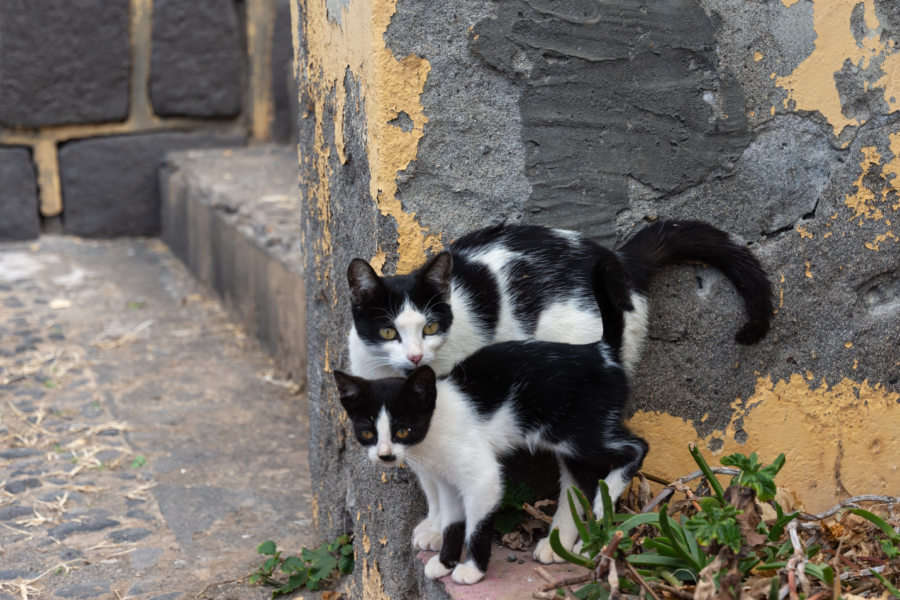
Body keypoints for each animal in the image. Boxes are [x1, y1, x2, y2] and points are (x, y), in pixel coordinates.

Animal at [334, 264, 644, 580]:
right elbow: (449, 517)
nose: (385, 455)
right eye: (367, 433)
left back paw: (605, 501)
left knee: (636, 446)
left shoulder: (483, 477)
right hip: (571, 441)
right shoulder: (444, 480)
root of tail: (601, 352)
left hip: (579, 431)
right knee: (589, 481)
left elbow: (477, 522)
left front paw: (471, 569)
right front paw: (444, 560)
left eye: (402, 429)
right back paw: (591, 533)